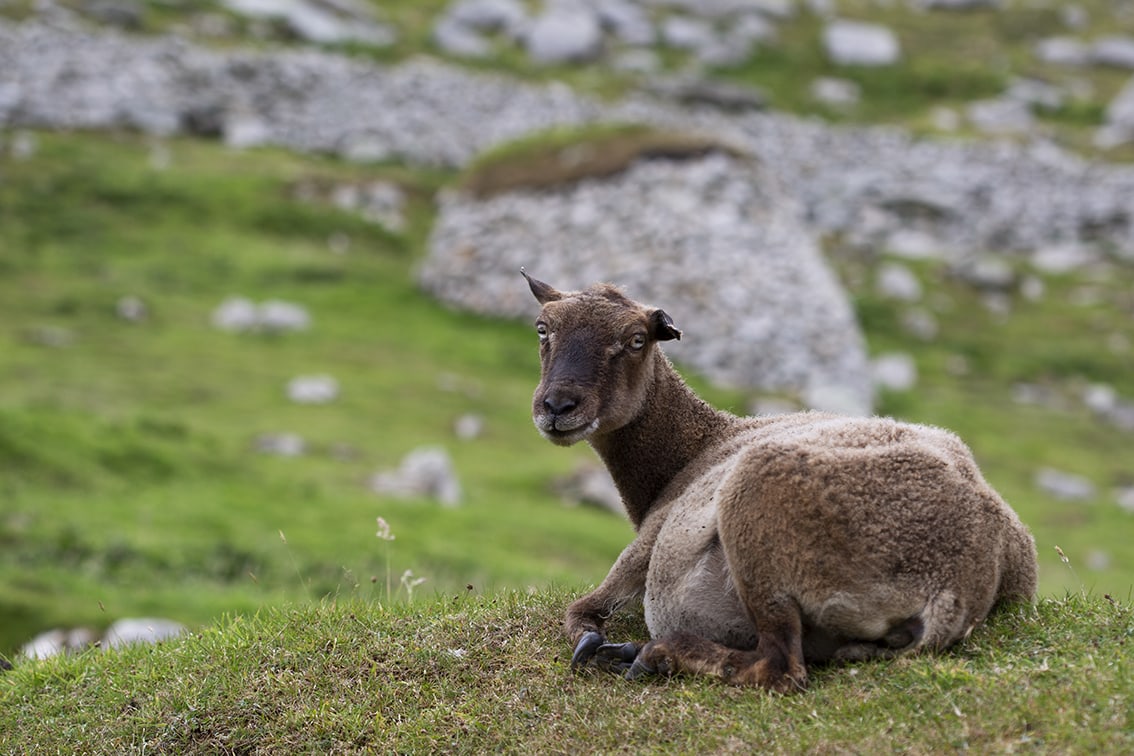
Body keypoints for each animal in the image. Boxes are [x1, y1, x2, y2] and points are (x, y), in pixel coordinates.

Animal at [521, 270, 1038, 693]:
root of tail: (957, 581)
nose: (557, 406)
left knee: (781, 667)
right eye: (543, 329)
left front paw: (600, 647)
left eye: (635, 340)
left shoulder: (642, 550)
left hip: (760, 517)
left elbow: (581, 618)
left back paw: (653, 655)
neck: (696, 448)